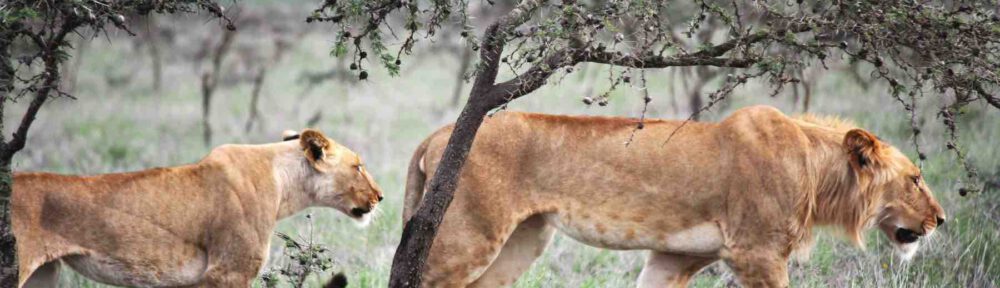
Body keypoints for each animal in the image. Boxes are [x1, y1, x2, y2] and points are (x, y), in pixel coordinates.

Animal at [404, 106, 944, 288]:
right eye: (916, 178)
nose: (941, 219)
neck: (814, 170)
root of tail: (440, 132)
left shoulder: (675, 258)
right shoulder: (758, 254)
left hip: (522, 241)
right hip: (468, 237)